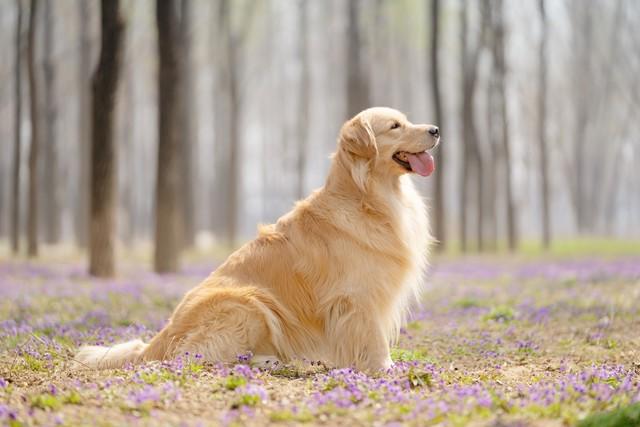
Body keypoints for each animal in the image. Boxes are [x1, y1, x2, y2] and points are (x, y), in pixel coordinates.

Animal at [72, 108, 438, 372]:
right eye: (395, 126)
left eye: (406, 120)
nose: (435, 129)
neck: (366, 197)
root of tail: (156, 342)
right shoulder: (356, 297)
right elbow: (374, 339)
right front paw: (385, 369)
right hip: (249, 304)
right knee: (201, 356)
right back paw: (273, 361)